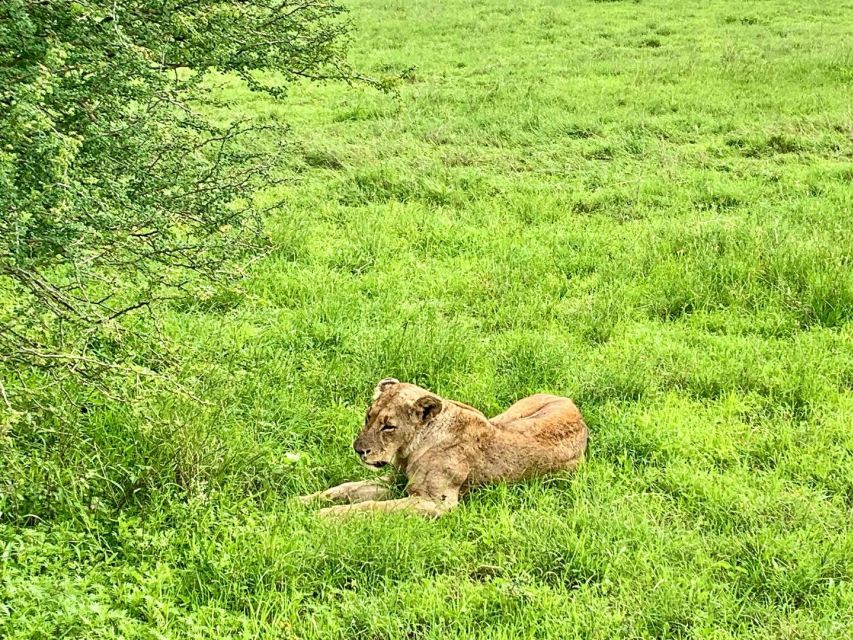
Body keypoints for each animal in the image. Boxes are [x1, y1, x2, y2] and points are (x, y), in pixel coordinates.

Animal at [298, 378, 584, 516]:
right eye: (368, 417)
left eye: (388, 426)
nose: (359, 450)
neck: (408, 450)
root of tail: (576, 410)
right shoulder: (394, 482)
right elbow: (345, 488)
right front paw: (300, 502)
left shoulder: (435, 502)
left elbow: (371, 508)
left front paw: (324, 516)